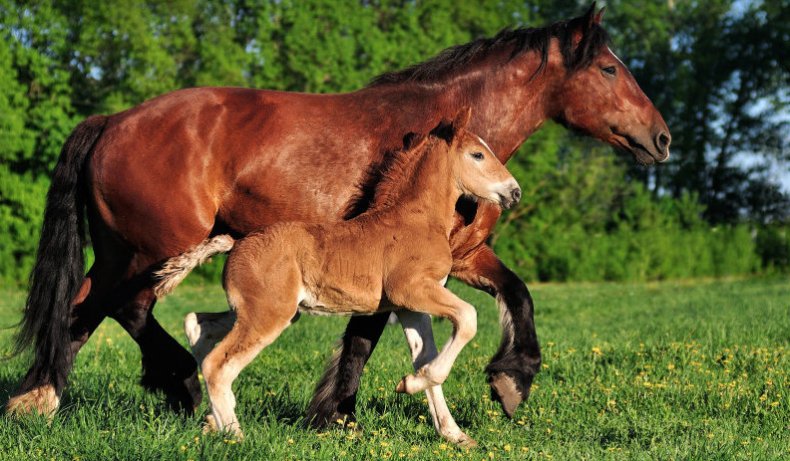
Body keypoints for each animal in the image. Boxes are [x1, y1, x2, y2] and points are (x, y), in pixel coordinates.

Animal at [155, 109, 524, 440]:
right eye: (477, 154)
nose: (514, 191)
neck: (415, 219)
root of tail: (235, 243)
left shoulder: (409, 307)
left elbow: (426, 357)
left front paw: (453, 434)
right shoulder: (411, 289)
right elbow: (469, 317)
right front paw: (409, 385)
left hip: (256, 309)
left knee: (198, 326)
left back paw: (212, 421)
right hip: (268, 313)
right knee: (217, 365)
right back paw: (235, 435)